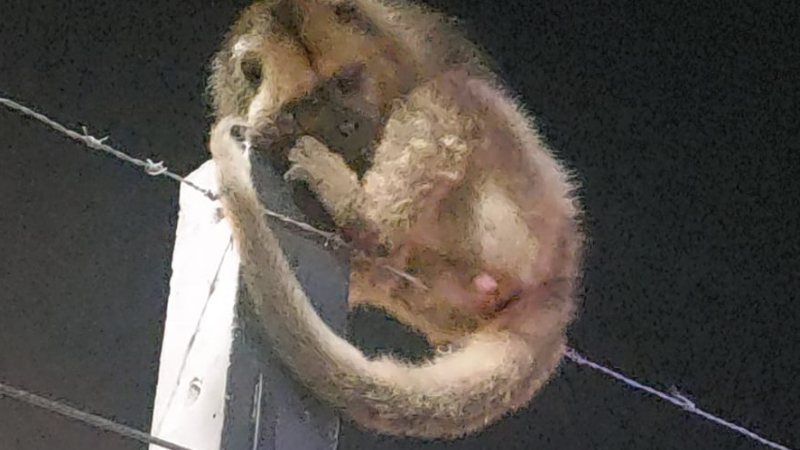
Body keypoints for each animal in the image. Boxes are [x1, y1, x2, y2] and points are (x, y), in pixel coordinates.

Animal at [207, 0, 585, 440]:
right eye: (310, 102)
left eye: (347, 81)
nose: (347, 125)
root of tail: (562, 277)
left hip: (522, 223)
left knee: (455, 94)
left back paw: (363, 215)